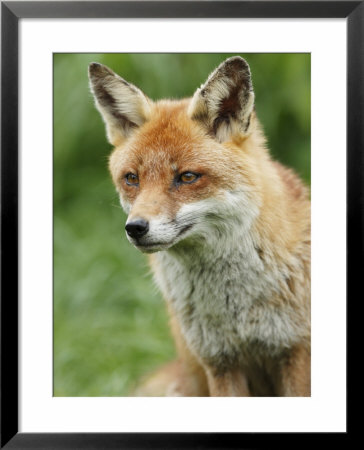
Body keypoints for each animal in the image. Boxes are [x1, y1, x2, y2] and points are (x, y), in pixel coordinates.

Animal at [88, 57, 310, 398]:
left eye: (188, 177)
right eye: (132, 178)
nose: (135, 228)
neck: (236, 308)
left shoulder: (295, 353)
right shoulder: (220, 362)